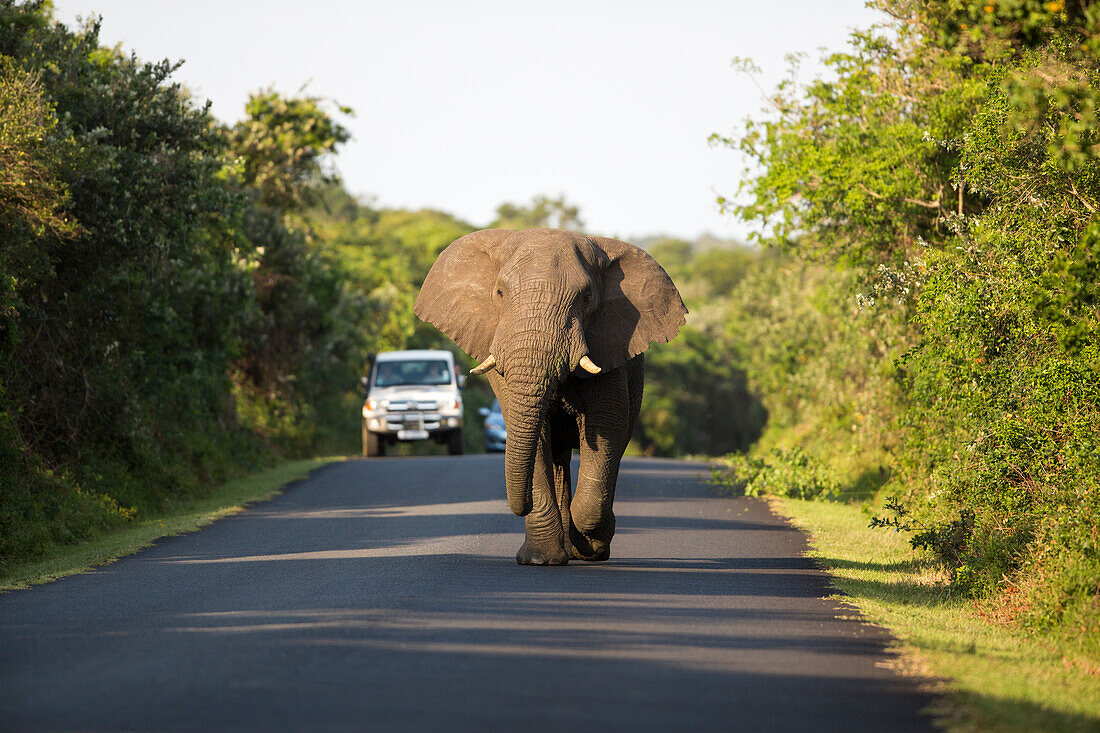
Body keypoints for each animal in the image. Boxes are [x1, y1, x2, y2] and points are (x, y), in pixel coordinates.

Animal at [413, 228, 682, 563]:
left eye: (586, 297)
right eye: (500, 293)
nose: (520, 506)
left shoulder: (610, 346)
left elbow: (606, 428)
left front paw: (591, 545)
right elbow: (536, 437)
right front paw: (540, 559)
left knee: (614, 450)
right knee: (557, 458)